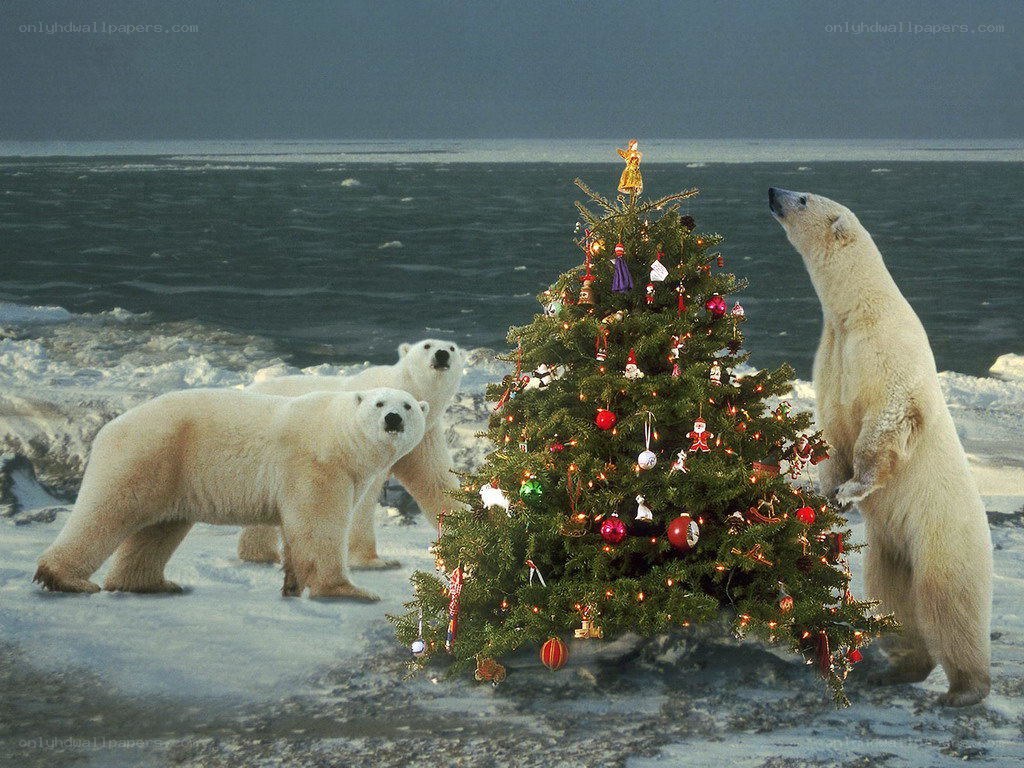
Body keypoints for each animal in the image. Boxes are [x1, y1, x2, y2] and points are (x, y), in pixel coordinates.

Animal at [34, 387, 427, 601]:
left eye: (408, 405)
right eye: (379, 404)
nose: (393, 418)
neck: (339, 436)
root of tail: (109, 427)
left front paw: (291, 585)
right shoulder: (316, 466)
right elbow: (318, 526)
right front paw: (351, 591)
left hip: (173, 473)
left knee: (161, 528)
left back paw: (154, 583)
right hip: (150, 454)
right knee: (108, 510)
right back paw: (64, 578)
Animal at [236, 339, 465, 569]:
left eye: (452, 348)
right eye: (427, 345)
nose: (442, 354)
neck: (402, 387)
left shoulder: (425, 435)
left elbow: (435, 480)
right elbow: (363, 496)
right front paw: (372, 560)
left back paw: (260, 553)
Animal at [769, 187, 993, 706]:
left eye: (803, 197)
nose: (772, 193)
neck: (858, 312)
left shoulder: (885, 353)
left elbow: (887, 419)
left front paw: (852, 488)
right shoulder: (832, 355)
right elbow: (832, 427)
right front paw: (825, 493)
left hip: (944, 534)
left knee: (948, 601)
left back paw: (965, 689)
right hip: (889, 546)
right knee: (892, 597)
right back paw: (897, 668)